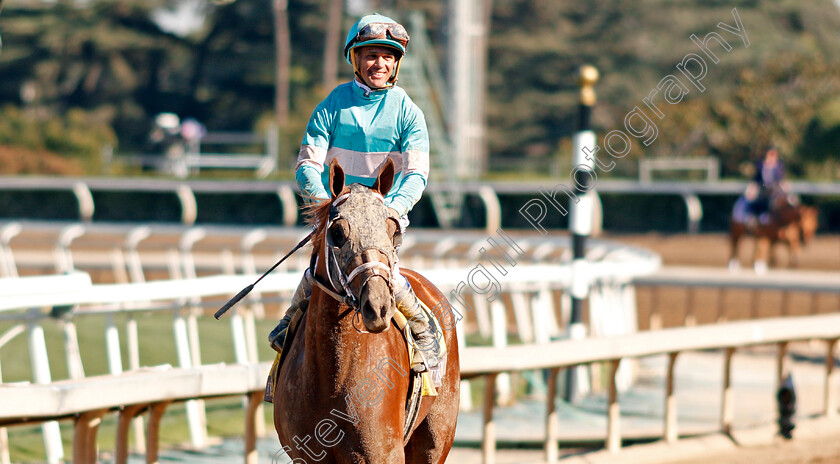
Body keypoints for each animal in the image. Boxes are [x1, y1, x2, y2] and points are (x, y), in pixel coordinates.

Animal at [274, 159, 460, 460]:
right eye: (338, 232)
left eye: (393, 231)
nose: (378, 305)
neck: (332, 374)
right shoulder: (304, 454)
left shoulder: (382, 451)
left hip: (437, 436)